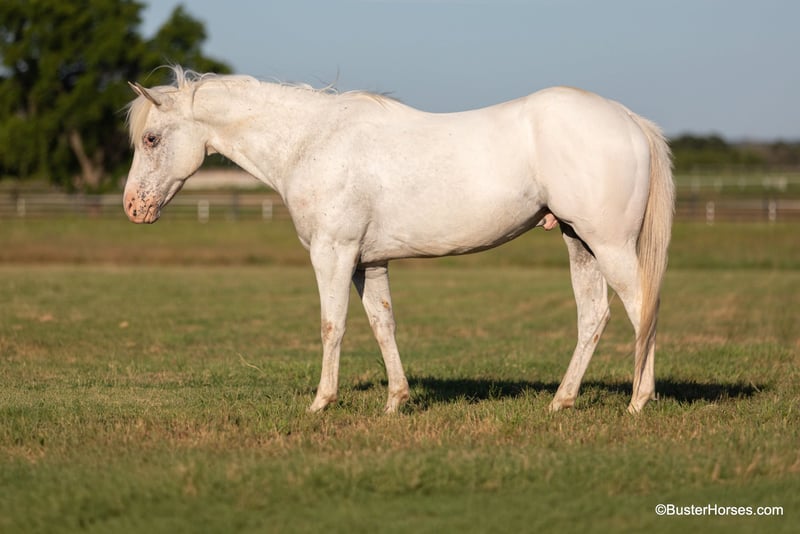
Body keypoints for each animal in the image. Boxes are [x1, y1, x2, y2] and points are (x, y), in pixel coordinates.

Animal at [124, 66, 674, 414]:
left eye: (150, 139)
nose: (133, 207)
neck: (311, 142)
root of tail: (628, 119)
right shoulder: (368, 263)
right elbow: (382, 324)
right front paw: (396, 401)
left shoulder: (333, 254)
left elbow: (332, 325)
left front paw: (321, 403)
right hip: (579, 243)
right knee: (595, 317)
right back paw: (562, 401)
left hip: (610, 244)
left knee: (641, 308)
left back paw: (638, 402)